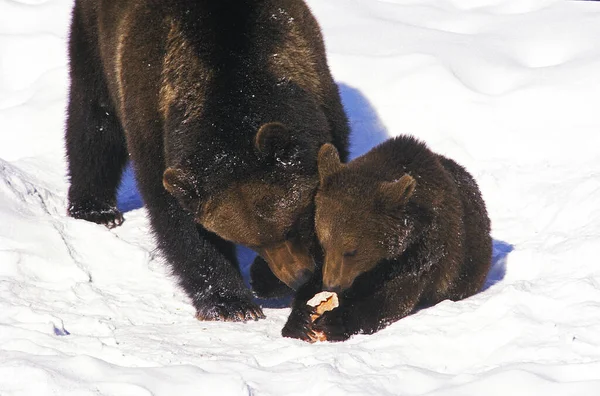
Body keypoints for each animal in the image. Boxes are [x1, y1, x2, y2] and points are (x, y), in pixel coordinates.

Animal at [63, 0, 350, 322]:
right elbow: (179, 222)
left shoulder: (319, 101)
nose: (298, 275)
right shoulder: (155, 127)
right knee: (94, 120)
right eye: (253, 243)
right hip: (95, 36)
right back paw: (96, 210)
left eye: (291, 223)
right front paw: (231, 303)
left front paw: (267, 280)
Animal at [282, 135, 492, 340]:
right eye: (324, 244)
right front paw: (300, 319)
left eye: (351, 251)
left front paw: (335, 321)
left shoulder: (423, 254)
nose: (332, 285)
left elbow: (394, 298)